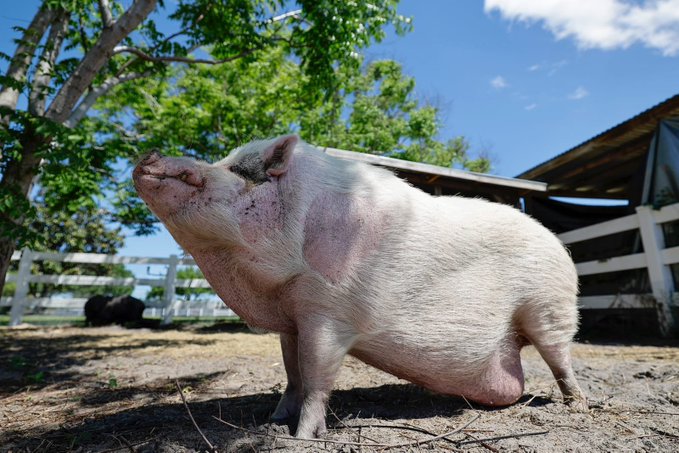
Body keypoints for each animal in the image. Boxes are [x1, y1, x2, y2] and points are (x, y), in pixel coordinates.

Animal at [133, 135, 587, 438]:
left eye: (234, 170)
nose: (148, 153)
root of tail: (561, 247)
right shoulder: (291, 319)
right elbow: (292, 373)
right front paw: (273, 420)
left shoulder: (329, 311)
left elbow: (317, 375)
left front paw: (302, 437)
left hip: (550, 307)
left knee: (561, 360)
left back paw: (577, 405)